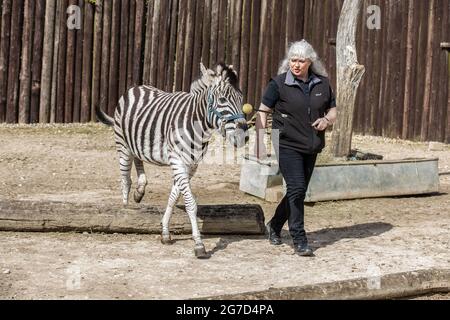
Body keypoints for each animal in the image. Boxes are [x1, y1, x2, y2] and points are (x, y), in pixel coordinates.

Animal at [96, 63, 250, 258]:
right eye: (222, 99)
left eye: (241, 98)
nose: (244, 137)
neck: (198, 126)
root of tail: (136, 87)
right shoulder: (177, 160)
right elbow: (190, 203)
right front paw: (198, 244)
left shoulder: (191, 165)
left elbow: (174, 197)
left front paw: (165, 232)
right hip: (122, 145)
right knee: (125, 181)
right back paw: (124, 212)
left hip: (138, 142)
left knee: (138, 161)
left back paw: (140, 190)